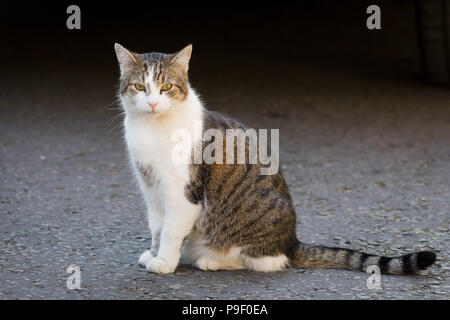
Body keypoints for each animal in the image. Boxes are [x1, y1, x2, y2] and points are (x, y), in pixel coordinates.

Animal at [114, 43, 438, 276]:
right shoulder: (151, 189)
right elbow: (157, 227)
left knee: (266, 262)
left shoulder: (182, 194)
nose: (152, 103)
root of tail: (292, 241)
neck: (153, 130)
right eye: (140, 87)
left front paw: (165, 263)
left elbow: (170, 231)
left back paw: (211, 261)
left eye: (166, 87)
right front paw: (154, 254)